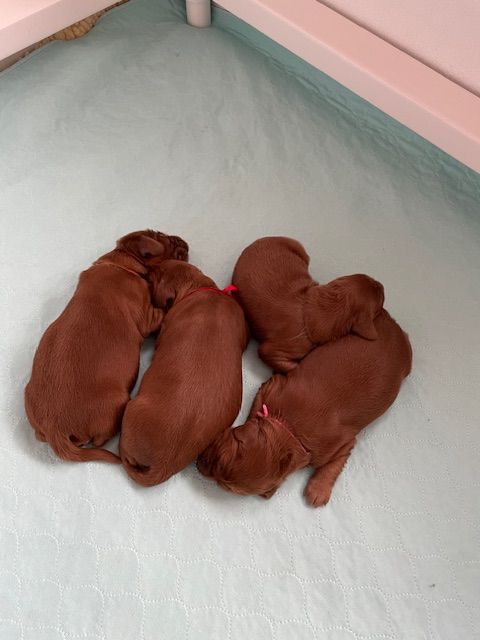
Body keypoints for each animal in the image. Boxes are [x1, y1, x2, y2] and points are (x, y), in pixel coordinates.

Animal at [24, 230, 188, 463]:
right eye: (164, 238)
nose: (183, 240)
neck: (122, 264)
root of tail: (55, 430)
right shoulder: (148, 316)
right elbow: (162, 311)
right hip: (116, 404)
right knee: (100, 438)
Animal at [197, 310, 412, 506]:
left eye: (223, 486)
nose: (198, 465)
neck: (290, 430)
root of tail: (395, 325)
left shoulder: (344, 443)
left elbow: (334, 464)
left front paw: (318, 490)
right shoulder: (271, 386)